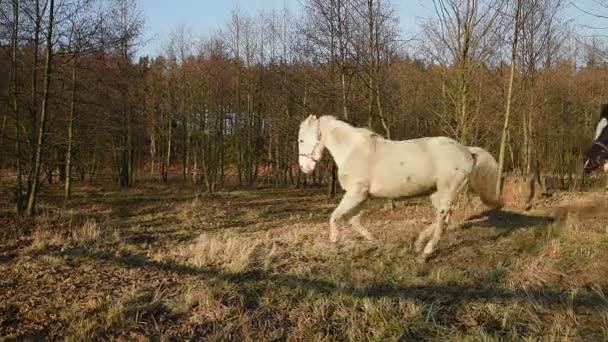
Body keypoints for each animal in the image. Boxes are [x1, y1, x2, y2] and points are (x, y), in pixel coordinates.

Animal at [296, 115, 502, 262]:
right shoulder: (361, 196)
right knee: (442, 218)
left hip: (446, 191)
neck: (353, 151)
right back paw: (418, 244)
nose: (304, 169)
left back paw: (426, 251)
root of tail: (468, 152)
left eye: (301, 140)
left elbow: (335, 217)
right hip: (436, 193)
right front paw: (375, 243)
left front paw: (334, 242)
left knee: (443, 218)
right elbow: (354, 221)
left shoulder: (356, 193)